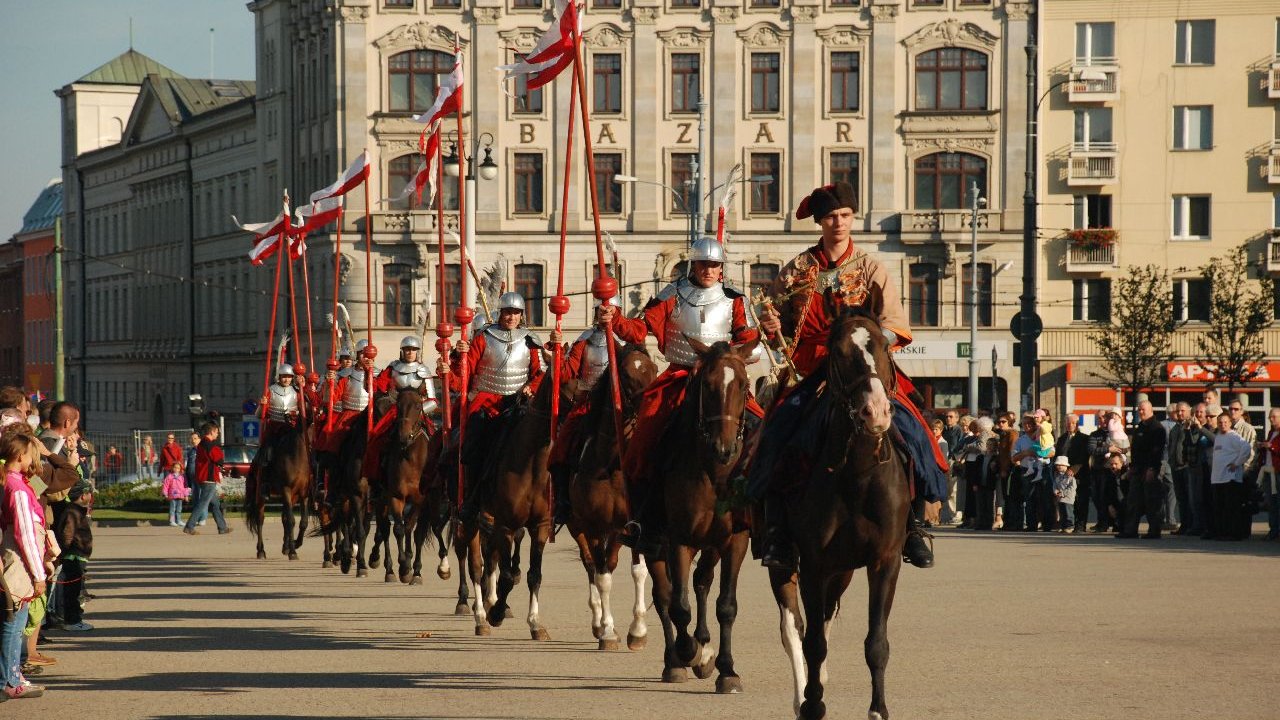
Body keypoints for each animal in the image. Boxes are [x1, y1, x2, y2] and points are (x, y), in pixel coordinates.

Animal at [245, 415, 313, 561]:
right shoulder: (286, 490)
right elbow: (291, 520)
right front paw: (293, 551)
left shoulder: (303, 494)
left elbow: (303, 521)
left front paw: (295, 544)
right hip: (260, 495)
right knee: (260, 519)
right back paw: (261, 550)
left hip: (292, 497)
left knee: (283, 518)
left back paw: (285, 547)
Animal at [565, 340, 655, 650]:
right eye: (626, 375)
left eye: (654, 369)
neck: (610, 464)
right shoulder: (592, 525)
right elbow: (602, 574)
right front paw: (607, 630)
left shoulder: (626, 525)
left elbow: (637, 570)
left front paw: (638, 631)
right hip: (576, 525)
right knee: (591, 564)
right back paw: (597, 621)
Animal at [645, 338, 752, 691]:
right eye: (708, 385)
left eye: (744, 385)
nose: (725, 448)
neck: (714, 472)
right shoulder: (680, 540)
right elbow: (678, 606)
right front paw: (688, 652)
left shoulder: (735, 540)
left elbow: (726, 605)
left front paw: (727, 669)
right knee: (664, 596)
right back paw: (676, 660)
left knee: (702, 582)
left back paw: (704, 646)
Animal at [768, 308, 911, 717]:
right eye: (839, 352)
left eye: (884, 347)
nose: (875, 412)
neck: (858, 475)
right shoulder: (813, 564)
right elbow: (811, 641)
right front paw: (813, 703)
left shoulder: (884, 561)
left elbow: (876, 642)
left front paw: (878, 709)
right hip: (786, 564)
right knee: (794, 628)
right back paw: (803, 694)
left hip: (843, 570)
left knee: (826, 618)